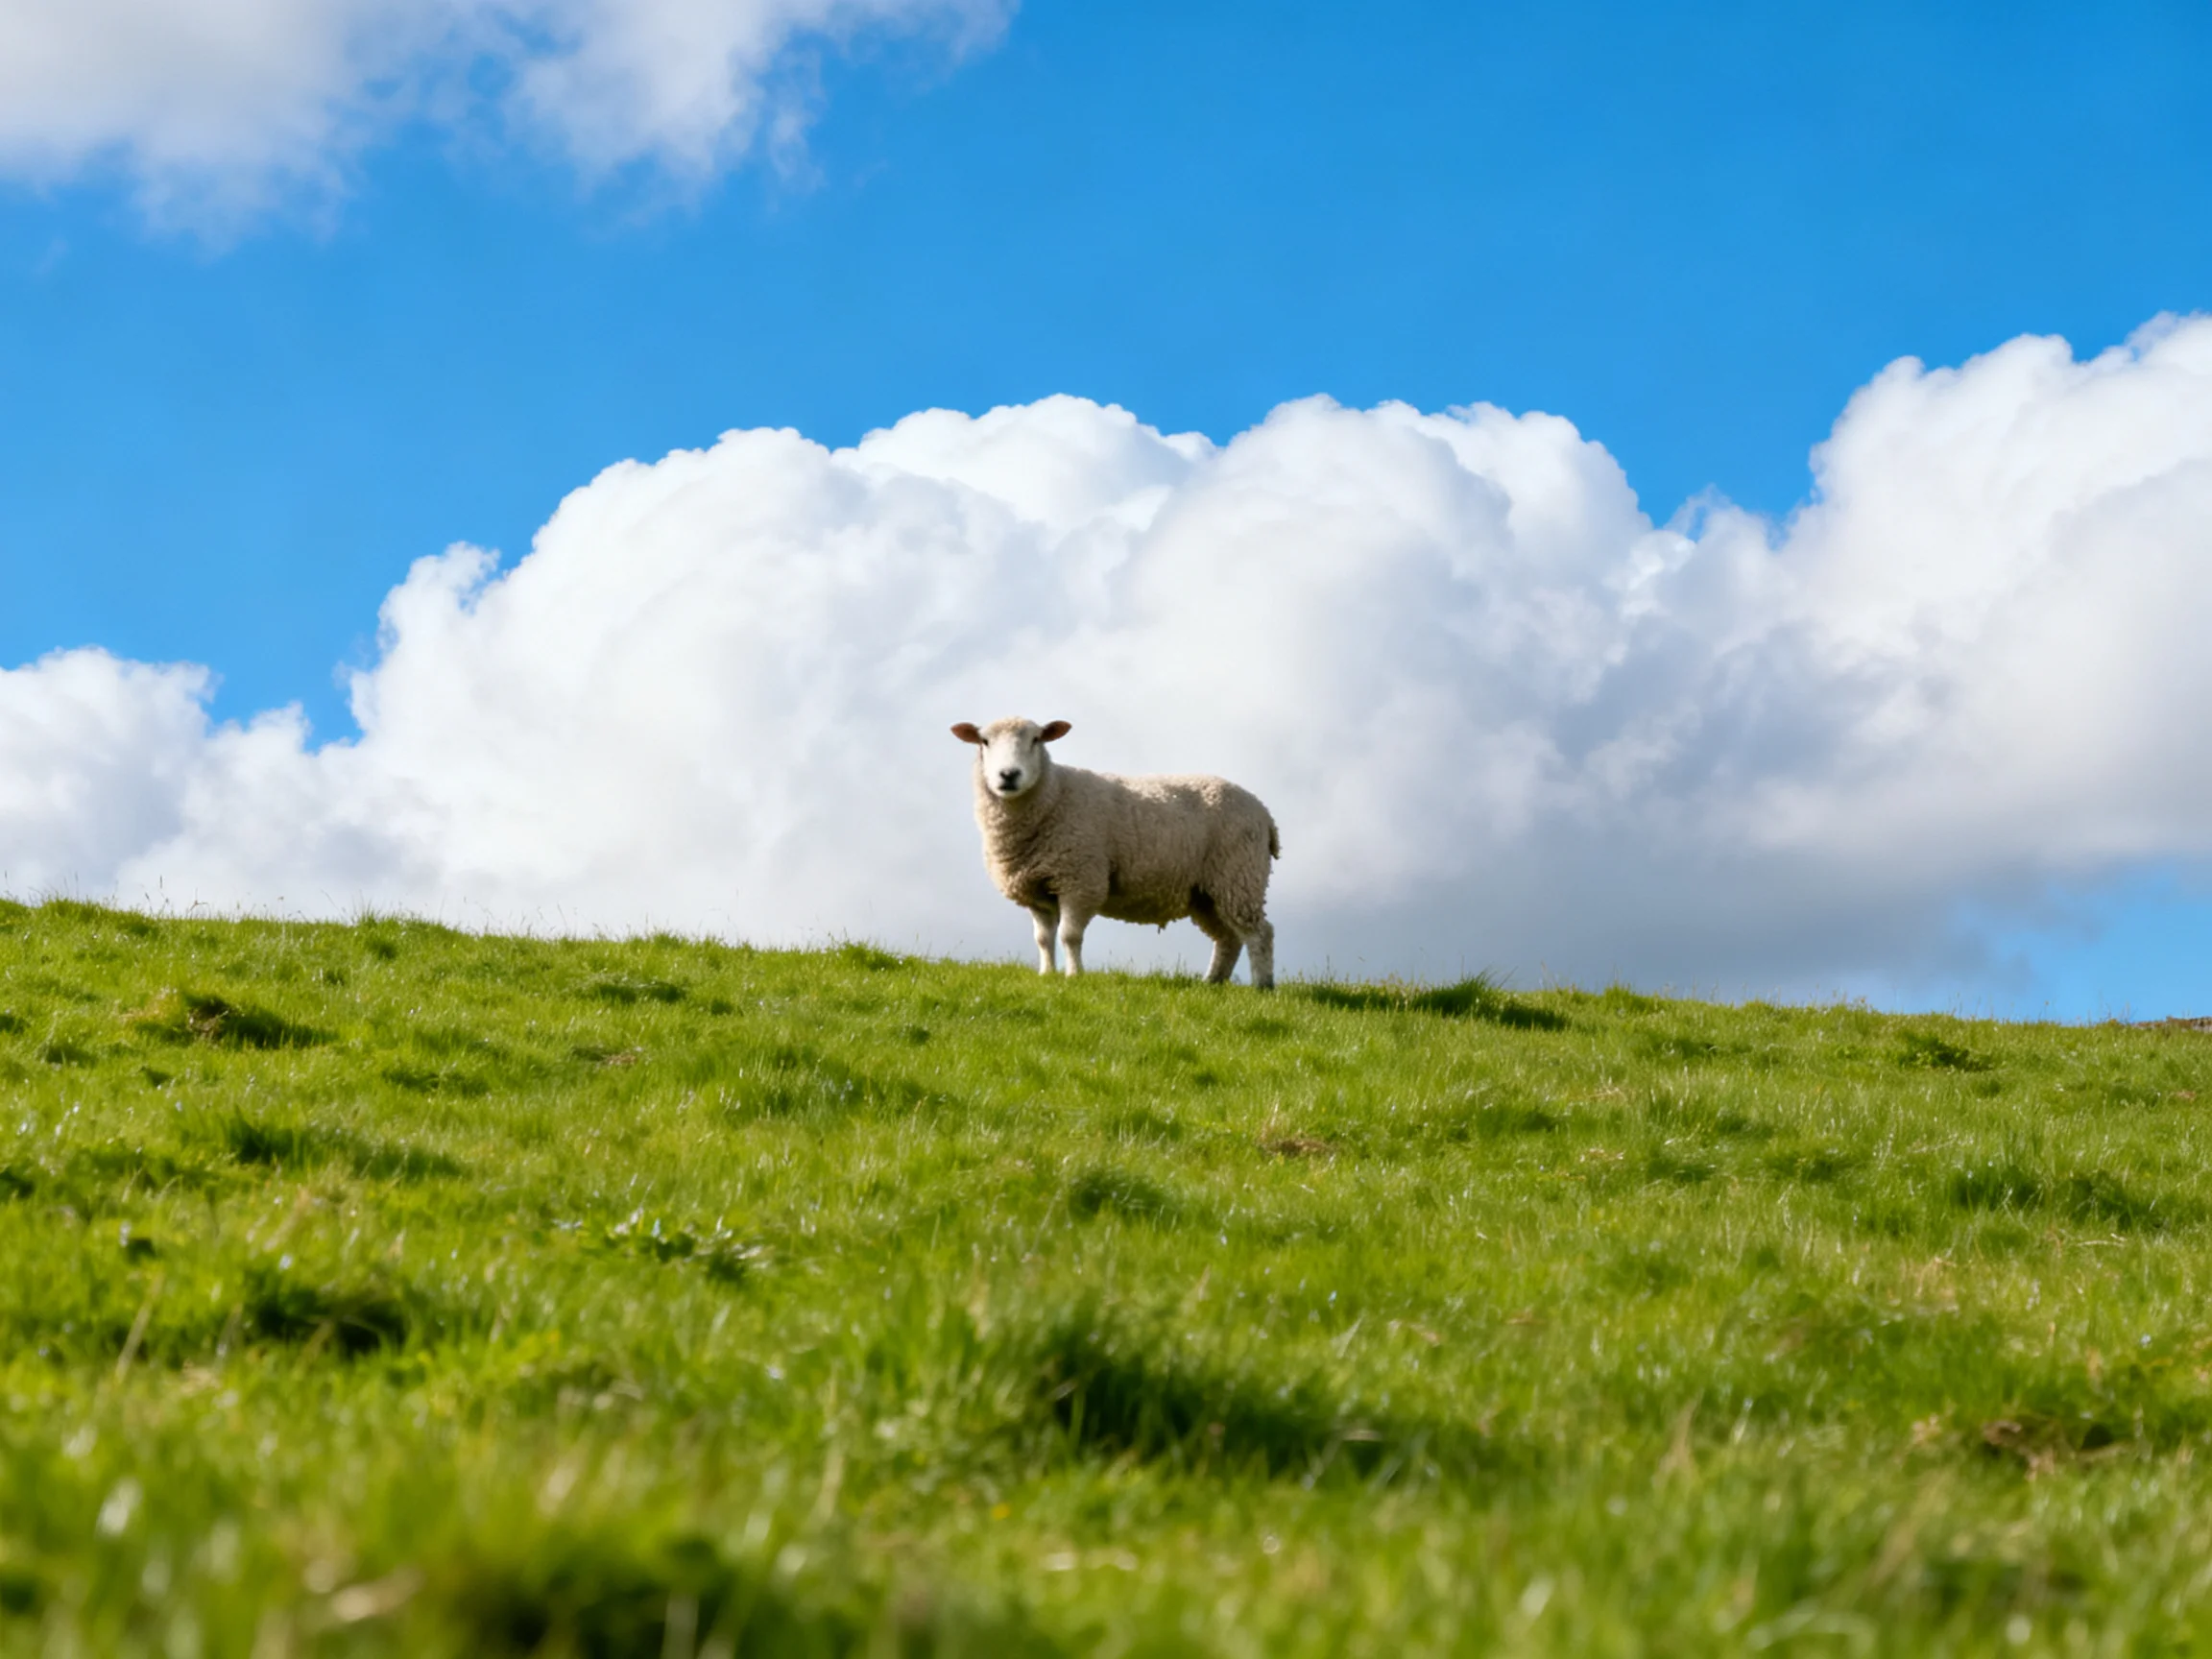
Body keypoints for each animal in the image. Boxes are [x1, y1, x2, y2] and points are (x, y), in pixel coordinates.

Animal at [950, 717, 1280, 987]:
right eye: (984, 741)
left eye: (1037, 739)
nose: (1009, 775)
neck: (1054, 795)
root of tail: (1264, 812)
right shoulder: (1037, 888)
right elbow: (1043, 939)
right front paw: (1047, 975)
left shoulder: (1081, 880)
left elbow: (1069, 935)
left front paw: (1074, 976)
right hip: (1207, 892)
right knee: (1227, 939)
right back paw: (1211, 982)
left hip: (1239, 874)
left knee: (1259, 933)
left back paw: (1262, 986)